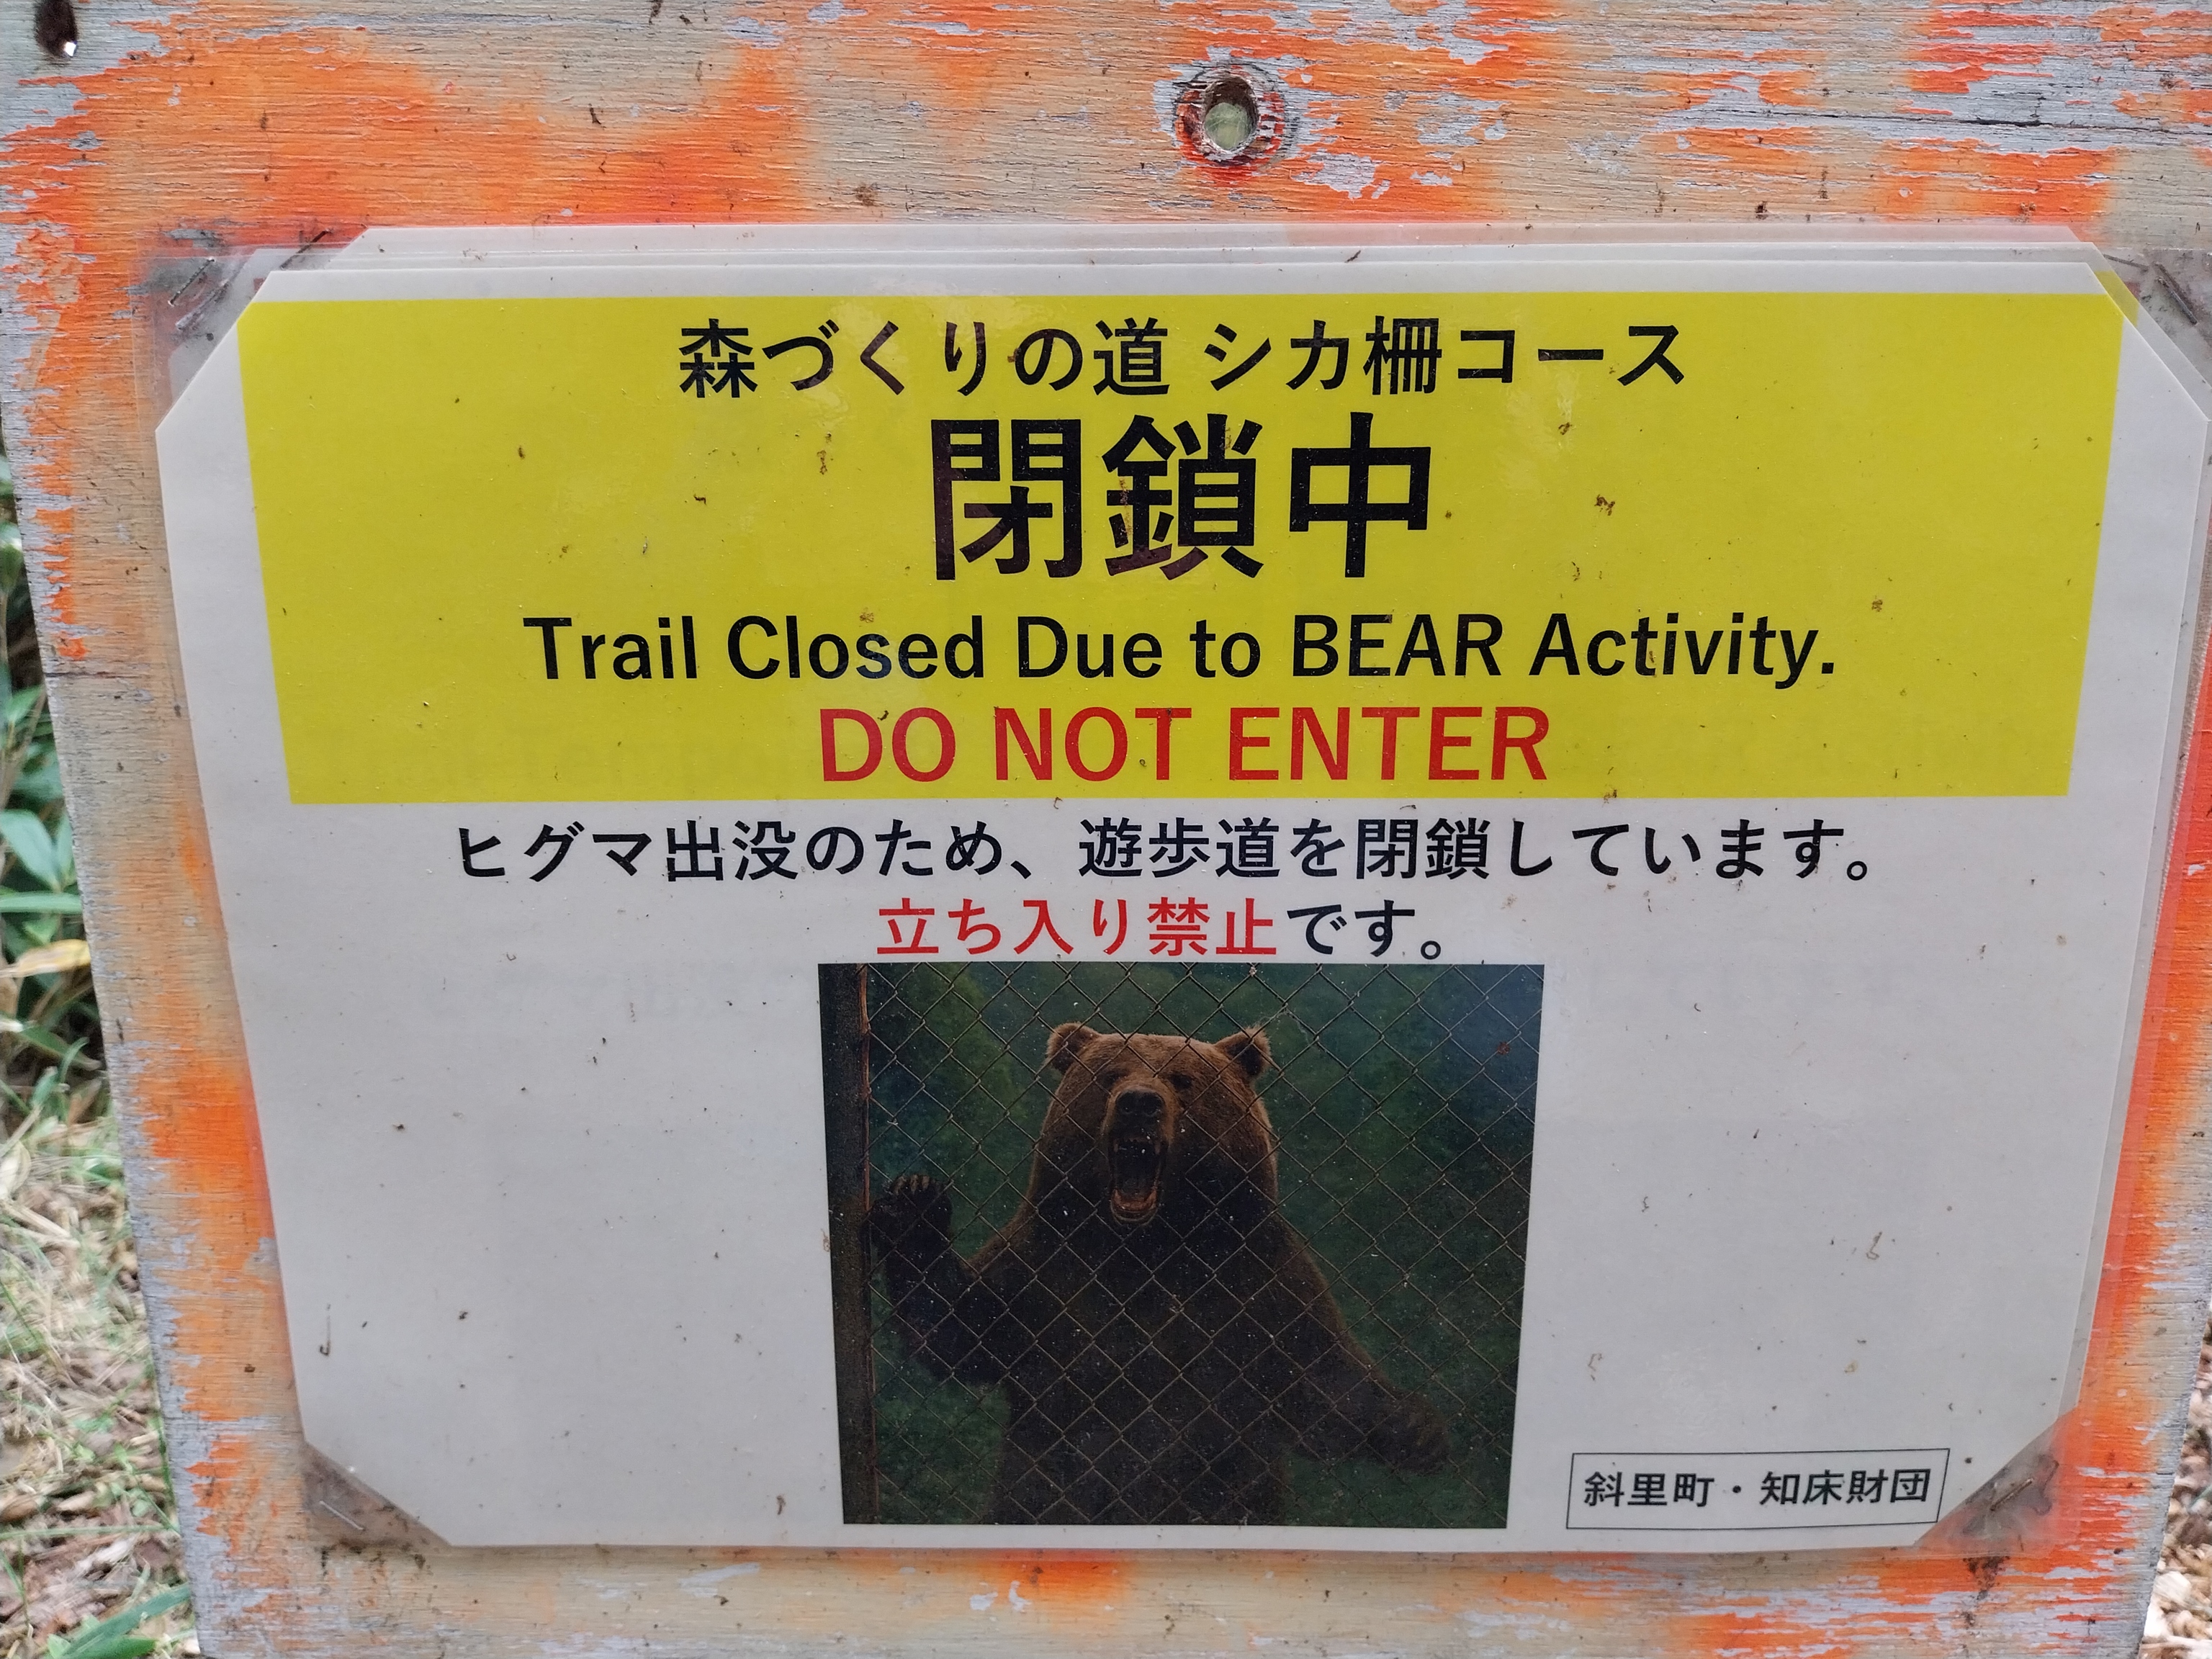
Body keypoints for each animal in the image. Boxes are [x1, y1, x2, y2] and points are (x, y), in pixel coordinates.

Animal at [868, 1020, 1452, 1525]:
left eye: (1182, 1079)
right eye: (1109, 1075)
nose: (1139, 1103)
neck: (1149, 1245)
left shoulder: (1256, 1283)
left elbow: (1317, 1379)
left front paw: (1417, 1425)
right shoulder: (1049, 1269)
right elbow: (963, 1328)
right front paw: (916, 1202)